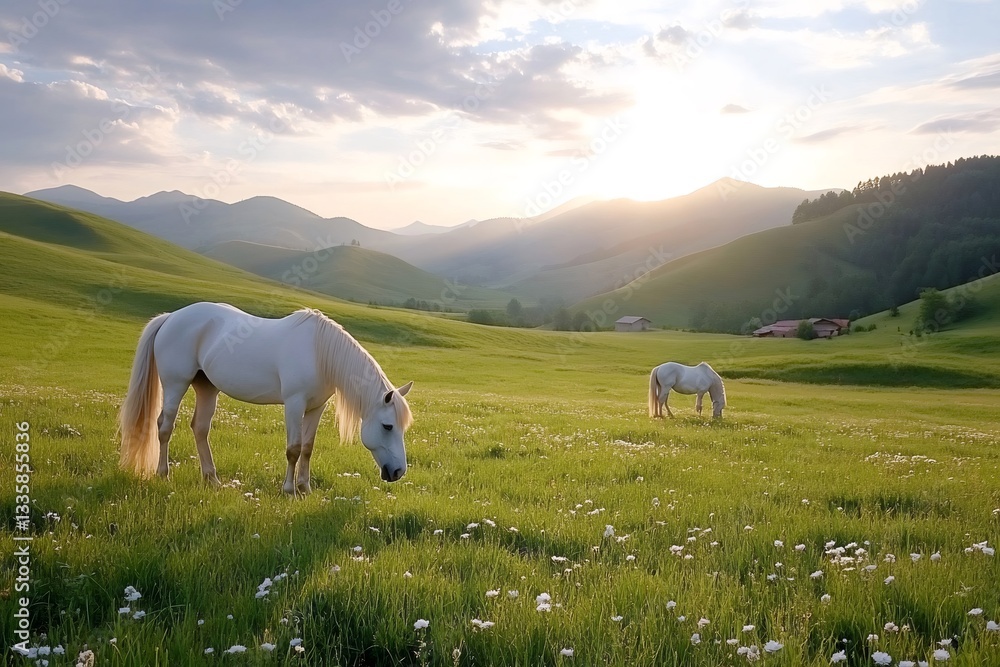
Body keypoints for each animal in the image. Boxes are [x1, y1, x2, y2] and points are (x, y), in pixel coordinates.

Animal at [118, 302, 413, 493]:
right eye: (388, 426)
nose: (398, 472)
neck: (319, 351)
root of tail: (170, 317)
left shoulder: (316, 407)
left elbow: (308, 448)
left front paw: (305, 488)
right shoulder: (294, 404)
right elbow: (293, 449)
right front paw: (289, 490)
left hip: (207, 388)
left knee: (200, 429)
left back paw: (212, 479)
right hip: (175, 385)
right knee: (164, 427)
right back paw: (163, 474)